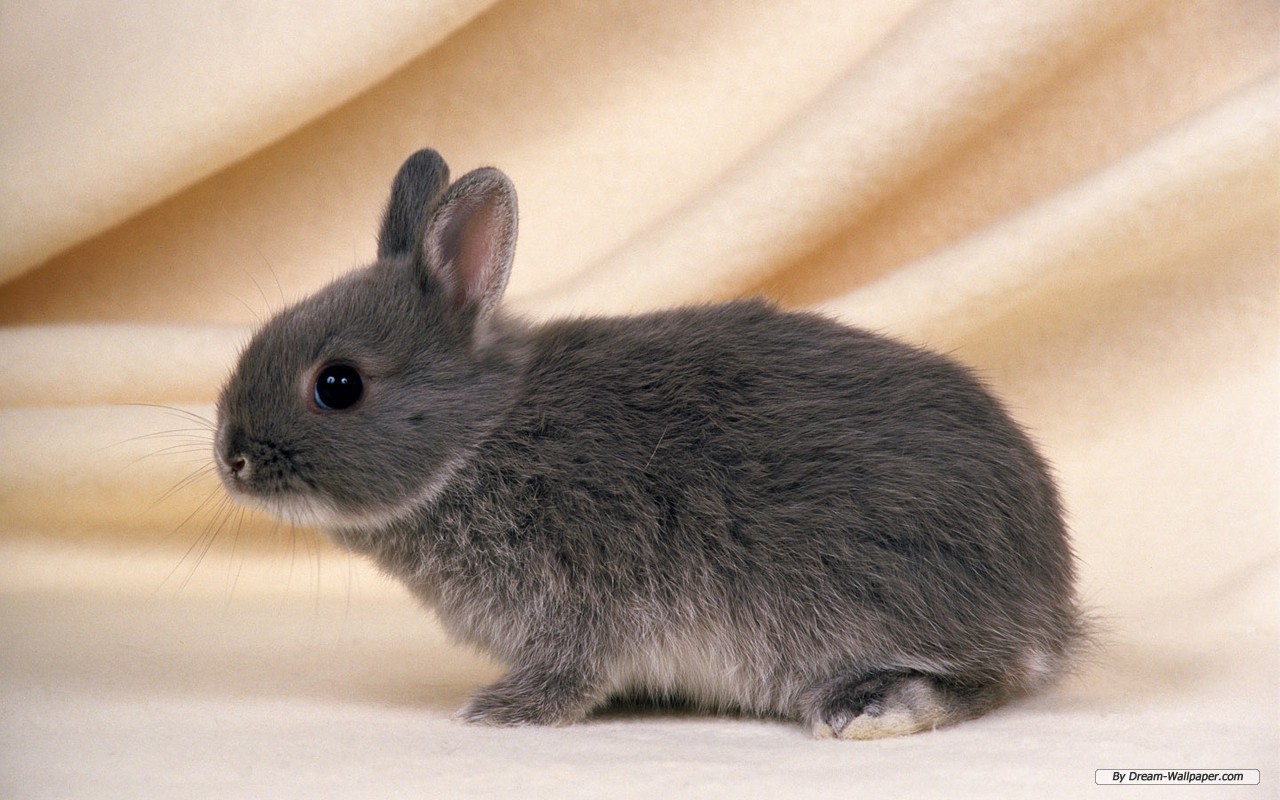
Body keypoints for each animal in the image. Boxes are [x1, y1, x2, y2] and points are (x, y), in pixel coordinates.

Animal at [214, 148, 1085, 739]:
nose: (232, 459)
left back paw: (871, 705)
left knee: (993, 677)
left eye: (338, 385)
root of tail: (1050, 601)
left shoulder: (581, 600)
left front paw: (499, 712)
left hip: (860, 597)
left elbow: (572, 670)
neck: (480, 437)